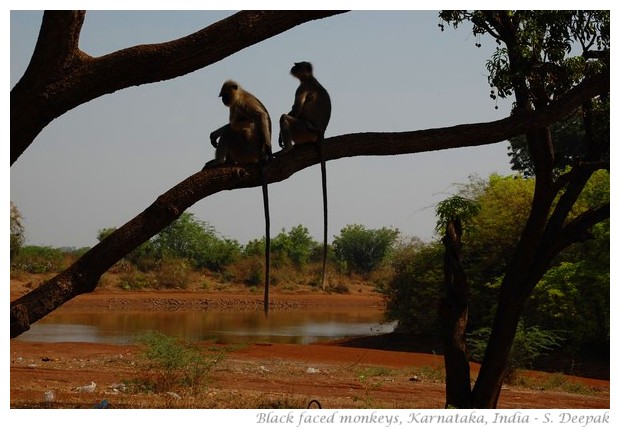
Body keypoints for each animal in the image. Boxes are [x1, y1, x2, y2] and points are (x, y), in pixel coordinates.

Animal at [203, 80, 272, 314]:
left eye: (224, 94)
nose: (224, 99)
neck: (240, 94)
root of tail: (254, 157)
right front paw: (213, 133)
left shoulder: (243, 103)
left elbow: (259, 116)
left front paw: (269, 148)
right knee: (229, 129)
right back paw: (226, 162)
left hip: (245, 148)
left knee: (232, 132)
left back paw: (220, 162)